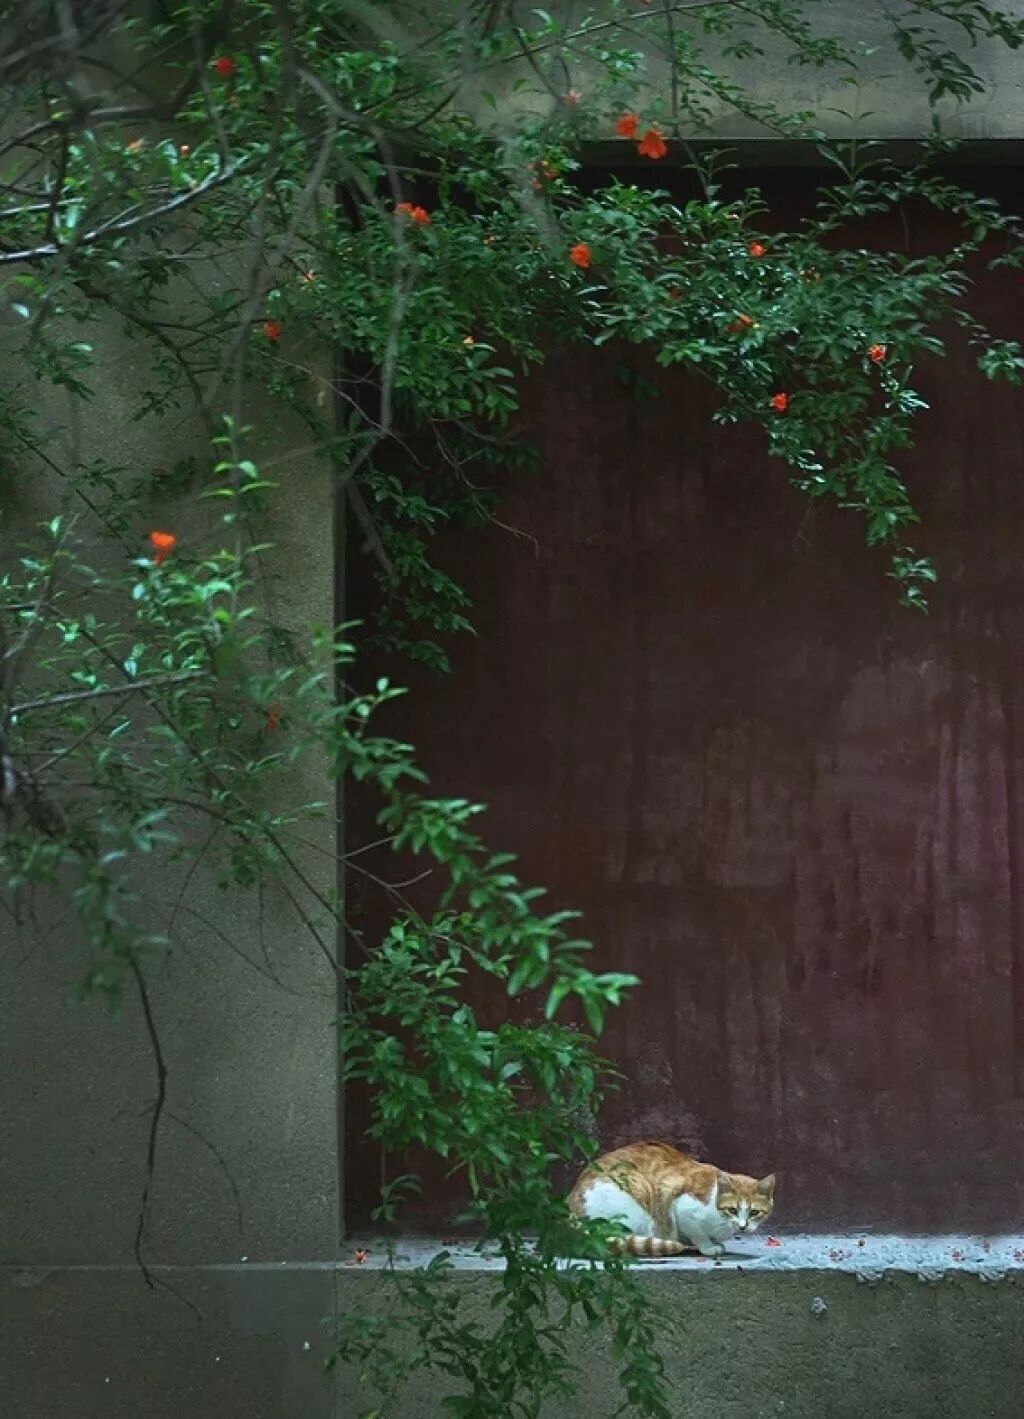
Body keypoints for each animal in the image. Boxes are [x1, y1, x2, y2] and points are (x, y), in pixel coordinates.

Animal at [566, 1141, 775, 1258]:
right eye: (732, 1210)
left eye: (754, 1212)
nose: (743, 1226)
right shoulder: (683, 1207)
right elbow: (698, 1234)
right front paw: (709, 1247)